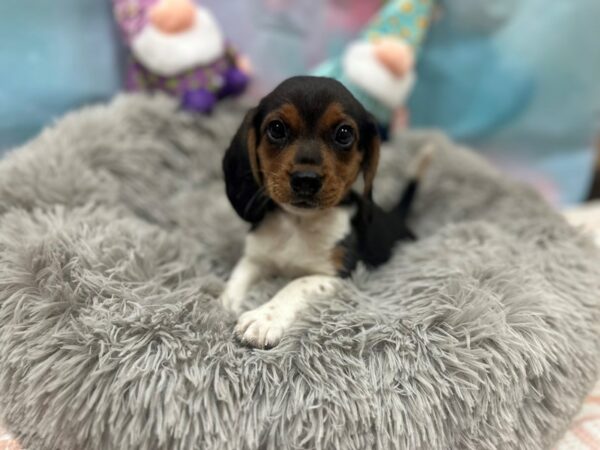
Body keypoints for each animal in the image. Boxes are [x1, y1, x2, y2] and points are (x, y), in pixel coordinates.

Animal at [223, 76, 428, 348]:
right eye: (276, 129)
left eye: (344, 133)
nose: (306, 180)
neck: (298, 223)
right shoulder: (256, 257)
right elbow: (237, 277)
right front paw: (224, 304)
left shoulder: (338, 276)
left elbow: (296, 284)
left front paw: (264, 317)